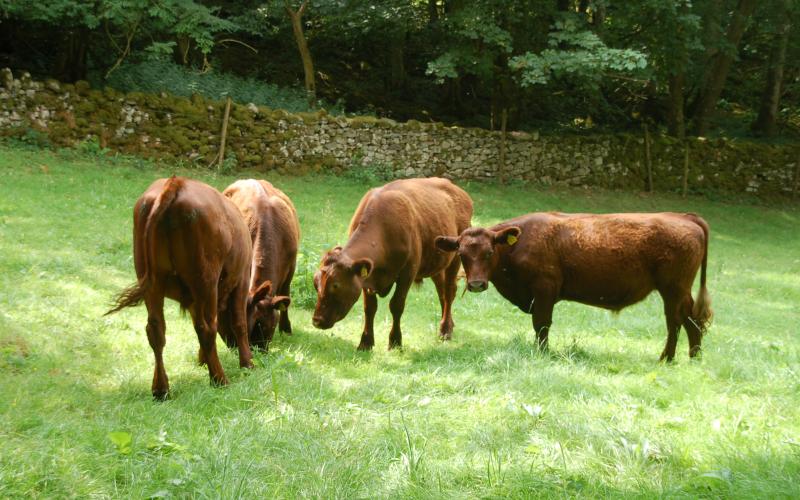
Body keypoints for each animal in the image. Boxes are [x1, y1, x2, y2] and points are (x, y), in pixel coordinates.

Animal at [104, 176, 274, 398]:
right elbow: (239, 322)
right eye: (267, 322)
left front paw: (203, 360)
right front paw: (247, 364)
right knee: (207, 328)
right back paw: (219, 379)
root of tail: (176, 182)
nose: (264, 349)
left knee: (156, 329)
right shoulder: (242, 279)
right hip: (206, 281)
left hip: (152, 281)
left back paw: (161, 388)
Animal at [222, 178, 296, 350]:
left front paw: (286, 328)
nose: (260, 349)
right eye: (254, 324)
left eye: (270, 326)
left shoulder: (291, 267)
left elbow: (286, 294)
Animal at [310, 178, 476, 350]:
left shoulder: (407, 272)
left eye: (336, 285)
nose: (317, 321)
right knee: (442, 291)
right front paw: (366, 342)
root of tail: (458, 191)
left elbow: (396, 305)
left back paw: (445, 330)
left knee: (449, 291)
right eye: (315, 283)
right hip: (437, 263)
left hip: (455, 256)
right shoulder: (367, 278)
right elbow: (370, 307)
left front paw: (395, 341)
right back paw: (448, 325)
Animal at [438, 211, 712, 360]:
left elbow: (541, 324)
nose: (476, 284)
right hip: (681, 291)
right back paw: (694, 357)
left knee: (675, 321)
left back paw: (666, 358)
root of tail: (684, 216)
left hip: (673, 289)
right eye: (462, 254)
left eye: (489, 252)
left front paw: (543, 353)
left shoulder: (544, 289)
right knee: (692, 319)